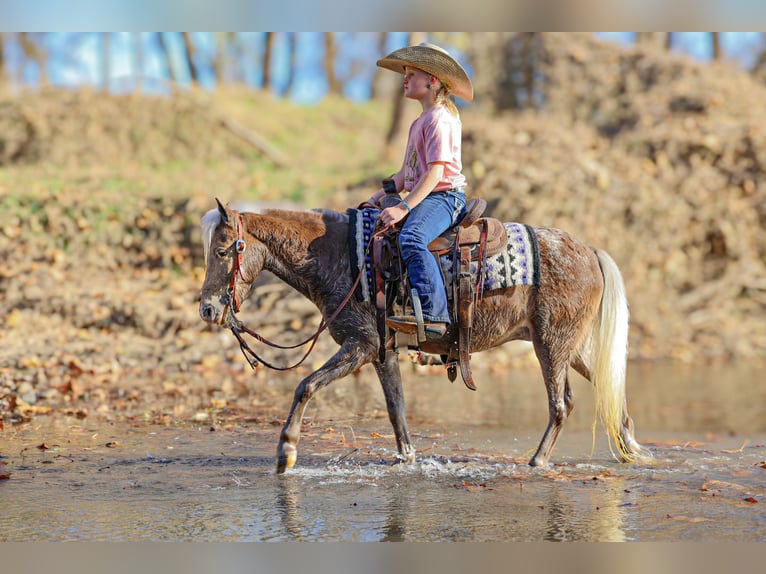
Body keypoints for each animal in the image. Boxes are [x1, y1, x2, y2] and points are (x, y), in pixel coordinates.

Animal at [198, 199, 649, 473]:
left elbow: (305, 385)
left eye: (222, 251)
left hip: (551, 345)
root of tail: (589, 251)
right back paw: (630, 445)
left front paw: (286, 451)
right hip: (571, 347)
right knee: (608, 385)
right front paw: (407, 458)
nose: (207, 309)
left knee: (561, 404)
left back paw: (538, 461)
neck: (343, 258)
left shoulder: (360, 346)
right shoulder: (382, 351)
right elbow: (396, 408)